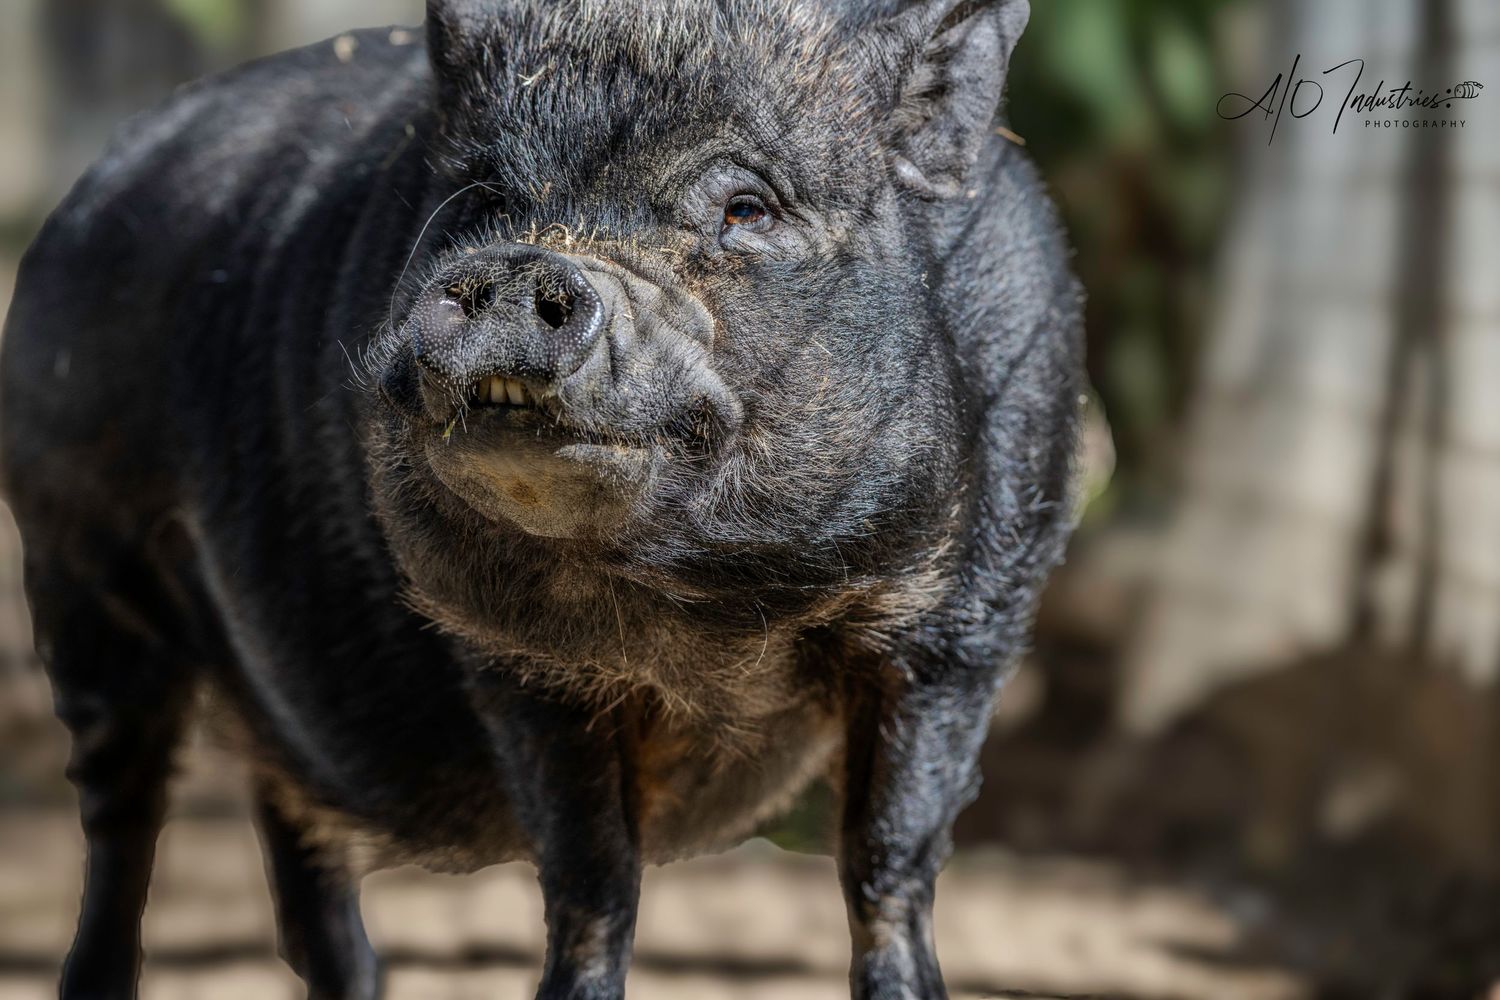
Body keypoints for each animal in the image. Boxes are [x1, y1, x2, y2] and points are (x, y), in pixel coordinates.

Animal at [0, 0, 1083, 997]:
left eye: (747, 208)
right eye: (485, 197)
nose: (524, 264)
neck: (707, 622)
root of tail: (91, 187)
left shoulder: (962, 629)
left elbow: (889, 865)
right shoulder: (520, 667)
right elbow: (593, 882)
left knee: (298, 851)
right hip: (76, 561)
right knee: (124, 814)